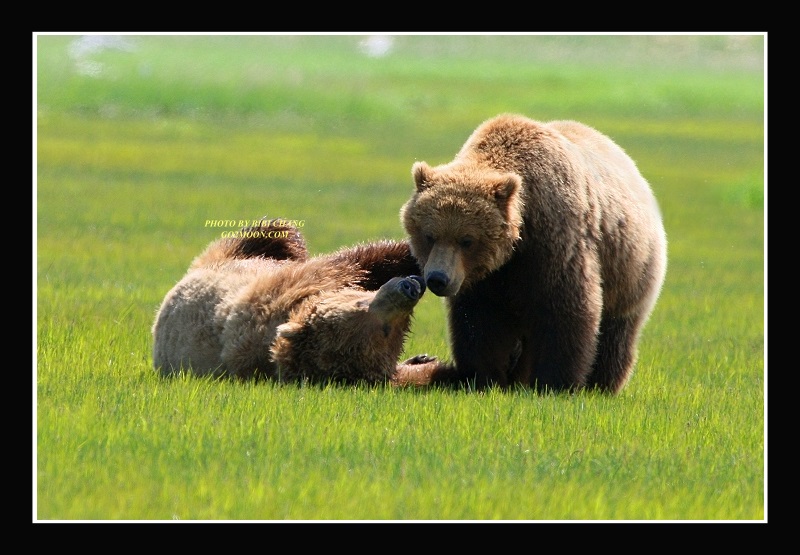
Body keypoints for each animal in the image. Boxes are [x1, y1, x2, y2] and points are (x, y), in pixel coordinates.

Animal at [152, 218, 431, 385]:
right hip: (227, 256)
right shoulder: (284, 289)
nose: (408, 287)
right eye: (361, 306)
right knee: (277, 233)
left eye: (395, 331)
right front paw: (409, 253)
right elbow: (357, 262)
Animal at [396, 114, 667, 394]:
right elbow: (478, 322)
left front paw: (555, 382)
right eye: (429, 235)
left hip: (629, 269)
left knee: (616, 330)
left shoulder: (554, 243)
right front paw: (484, 378)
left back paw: (601, 384)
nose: (438, 278)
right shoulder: (485, 278)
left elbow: (564, 311)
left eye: (467, 240)